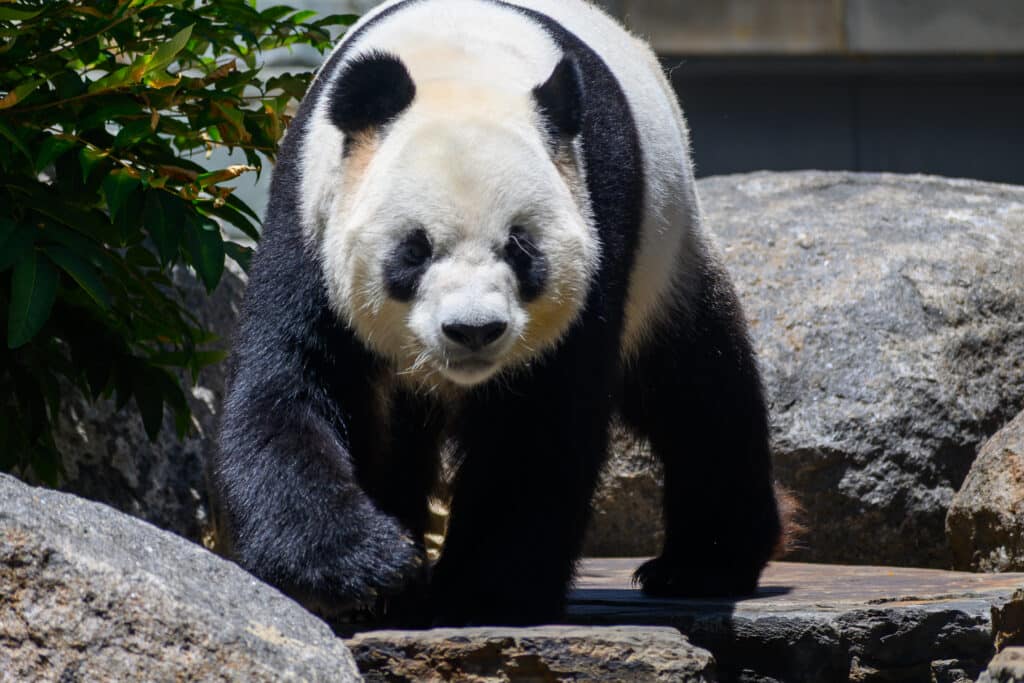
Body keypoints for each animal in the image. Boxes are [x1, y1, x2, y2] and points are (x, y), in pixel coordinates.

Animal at [213, 0, 783, 626]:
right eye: (415, 249)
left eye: (520, 248)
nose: (473, 331)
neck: (460, 70)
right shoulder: (311, 218)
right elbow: (294, 384)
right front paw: (364, 571)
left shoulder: (598, 222)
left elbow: (537, 426)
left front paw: (483, 592)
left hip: (665, 257)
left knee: (698, 390)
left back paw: (701, 563)